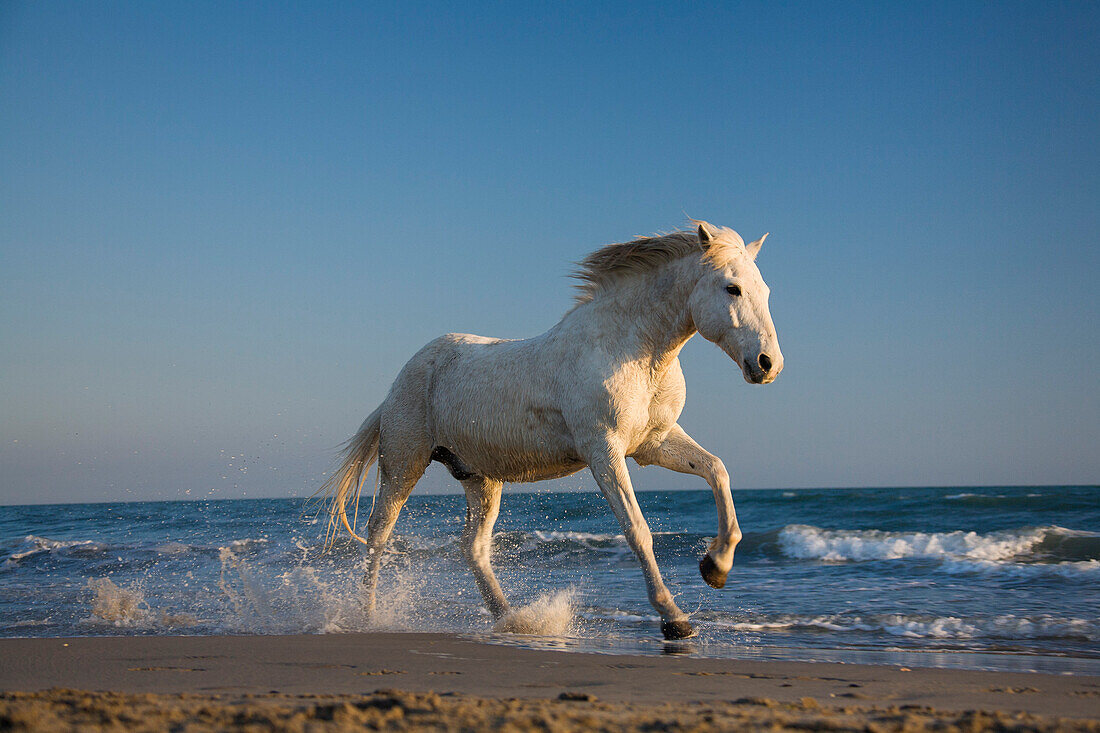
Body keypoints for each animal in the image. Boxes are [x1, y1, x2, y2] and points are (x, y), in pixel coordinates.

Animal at [323, 220, 783, 638]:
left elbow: (717, 470)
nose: (768, 365)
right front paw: (675, 619)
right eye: (732, 288)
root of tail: (402, 377)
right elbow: (638, 529)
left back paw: (512, 619)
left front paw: (716, 567)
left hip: (480, 478)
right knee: (379, 534)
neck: (633, 350)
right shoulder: (604, 451)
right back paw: (367, 617)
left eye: (765, 291)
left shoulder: (654, 443)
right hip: (403, 464)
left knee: (473, 549)